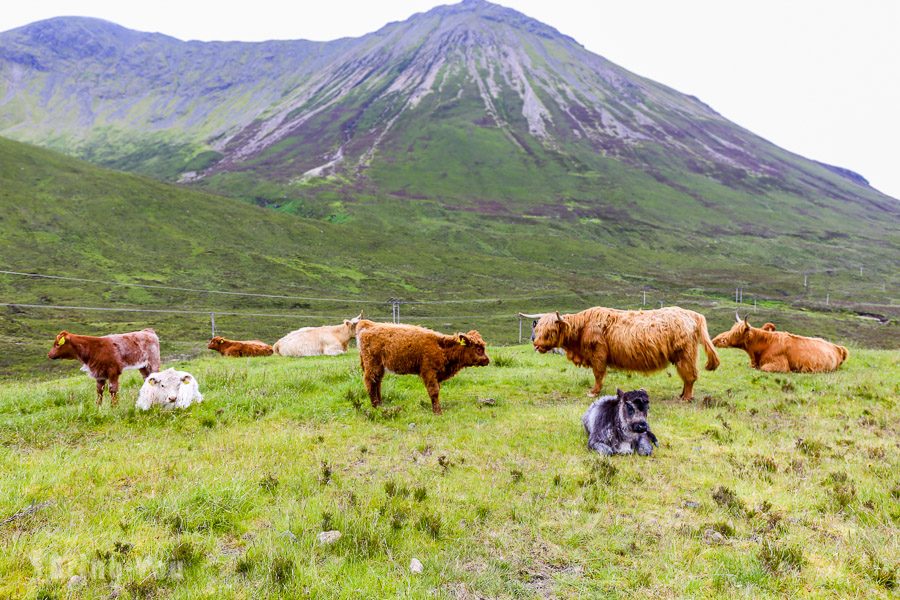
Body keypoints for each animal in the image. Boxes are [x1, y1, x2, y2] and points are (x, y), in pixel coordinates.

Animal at [354, 322, 492, 414]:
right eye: (478, 348)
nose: (487, 360)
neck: (441, 347)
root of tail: (368, 325)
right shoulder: (428, 372)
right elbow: (434, 391)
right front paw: (438, 412)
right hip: (372, 364)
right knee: (370, 382)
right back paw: (376, 406)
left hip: (379, 367)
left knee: (377, 383)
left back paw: (380, 405)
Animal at [536, 308, 716, 400]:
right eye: (537, 329)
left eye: (550, 331)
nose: (536, 345)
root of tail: (693, 314)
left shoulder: (598, 354)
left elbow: (598, 374)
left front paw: (594, 392)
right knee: (686, 376)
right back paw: (682, 395)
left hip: (685, 354)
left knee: (690, 376)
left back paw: (686, 398)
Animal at [712, 312, 848, 372]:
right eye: (732, 329)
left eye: (737, 333)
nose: (717, 340)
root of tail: (839, 348)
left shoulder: (779, 365)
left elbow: (764, 369)